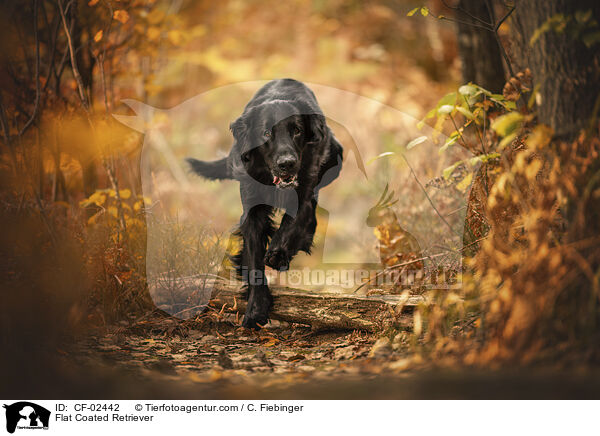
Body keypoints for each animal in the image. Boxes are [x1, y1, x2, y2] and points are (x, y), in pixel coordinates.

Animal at [188, 78, 346, 328]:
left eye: (297, 130)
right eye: (266, 133)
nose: (287, 163)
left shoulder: (305, 191)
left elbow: (295, 222)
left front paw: (278, 253)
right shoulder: (252, 208)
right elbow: (253, 256)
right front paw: (256, 308)